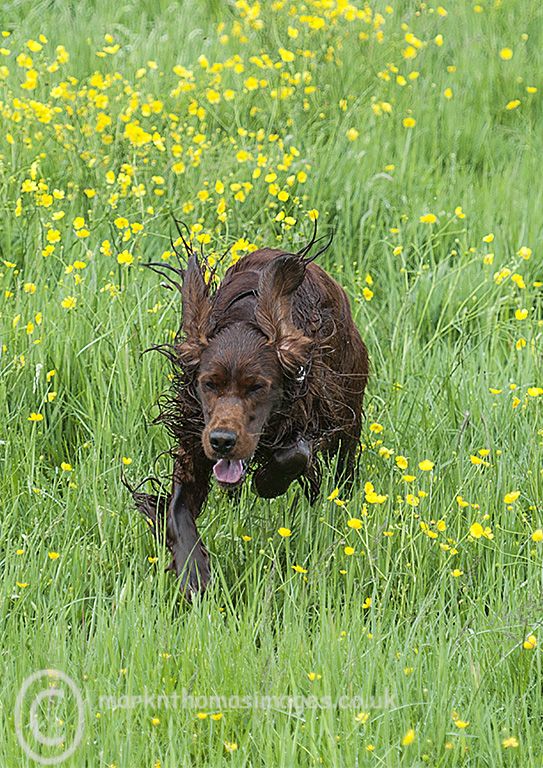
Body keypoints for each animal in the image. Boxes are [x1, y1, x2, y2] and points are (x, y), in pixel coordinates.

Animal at [133, 230, 369, 596]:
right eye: (209, 384)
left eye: (256, 386)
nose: (222, 441)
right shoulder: (194, 438)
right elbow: (177, 509)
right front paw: (193, 573)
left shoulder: (316, 411)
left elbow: (296, 453)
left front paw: (267, 482)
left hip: (348, 418)